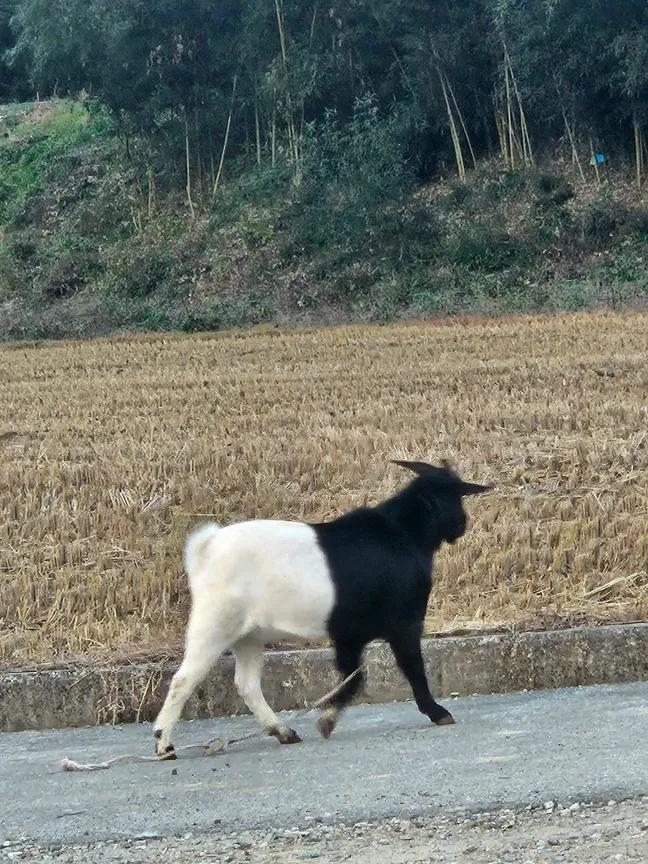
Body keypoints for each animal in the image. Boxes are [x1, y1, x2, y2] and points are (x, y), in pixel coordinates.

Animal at [153, 460, 491, 755]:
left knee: (246, 684)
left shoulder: (349, 634)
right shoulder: (404, 621)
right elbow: (410, 668)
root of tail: (205, 548)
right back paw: (164, 744)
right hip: (215, 623)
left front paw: (327, 718)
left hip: (247, 634)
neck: (404, 533)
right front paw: (437, 712)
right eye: (455, 497)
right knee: (184, 678)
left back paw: (283, 732)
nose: (462, 525)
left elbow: (353, 675)